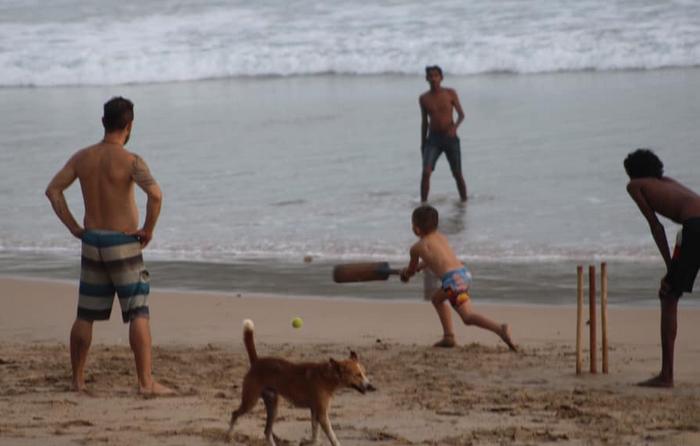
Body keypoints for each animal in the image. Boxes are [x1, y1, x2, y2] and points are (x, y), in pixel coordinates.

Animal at [227, 318, 374, 444]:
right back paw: (229, 435)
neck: (327, 376)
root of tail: (256, 362)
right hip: (250, 401)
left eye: (364, 373)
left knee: (267, 432)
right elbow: (332, 437)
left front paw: (309, 442)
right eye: (357, 375)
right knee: (235, 414)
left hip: (273, 406)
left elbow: (315, 435)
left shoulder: (315, 412)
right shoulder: (322, 414)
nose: (371, 387)